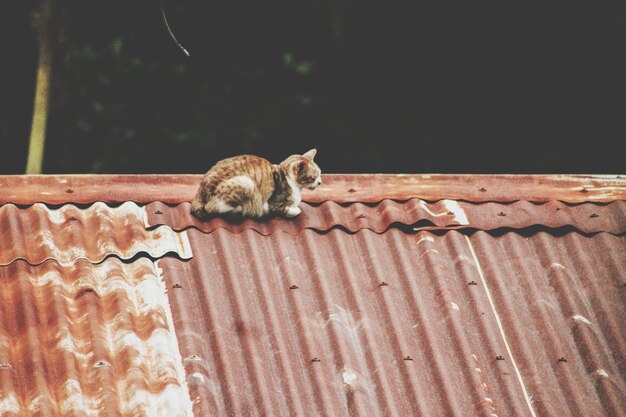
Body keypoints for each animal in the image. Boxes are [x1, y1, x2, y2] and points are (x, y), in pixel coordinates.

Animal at [190, 149, 322, 219]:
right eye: (314, 177)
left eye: (320, 173)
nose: (320, 182)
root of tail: (199, 192)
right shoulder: (274, 203)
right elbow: (289, 209)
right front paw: (294, 209)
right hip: (247, 182)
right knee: (211, 207)